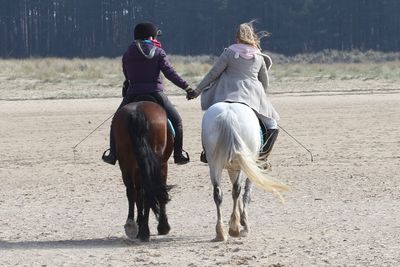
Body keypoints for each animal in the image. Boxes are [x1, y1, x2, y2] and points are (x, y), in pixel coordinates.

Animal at [113, 101, 174, 243]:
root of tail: (137, 111)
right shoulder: (163, 165)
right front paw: (163, 226)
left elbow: (138, 195)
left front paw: (139, 223)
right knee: (146, 192)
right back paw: (144, 231)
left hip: (126, 164)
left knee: (132, 192)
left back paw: (132, 226)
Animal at [203, 101, 288, 242]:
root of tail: (229, 114)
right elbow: (246, 193)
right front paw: (243, 223)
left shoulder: (233, 168)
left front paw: (239, 219)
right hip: (243, 162)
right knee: (237, 189)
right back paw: (234, 229)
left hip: (214, 164)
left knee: (218, 193)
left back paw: (221, 232)